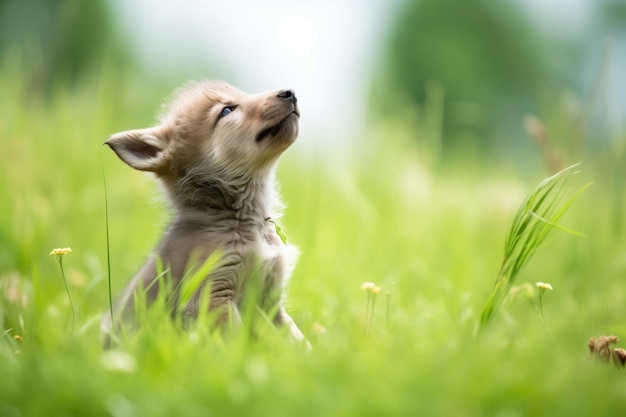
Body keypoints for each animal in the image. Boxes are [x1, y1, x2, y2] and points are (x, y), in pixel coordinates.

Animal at [102, 80, 304, 344]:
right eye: (226, 111)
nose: (290, 93)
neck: (243, 218)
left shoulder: (269, 302)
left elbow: (297, 340)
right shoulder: (211, 296)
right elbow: (235, 340)